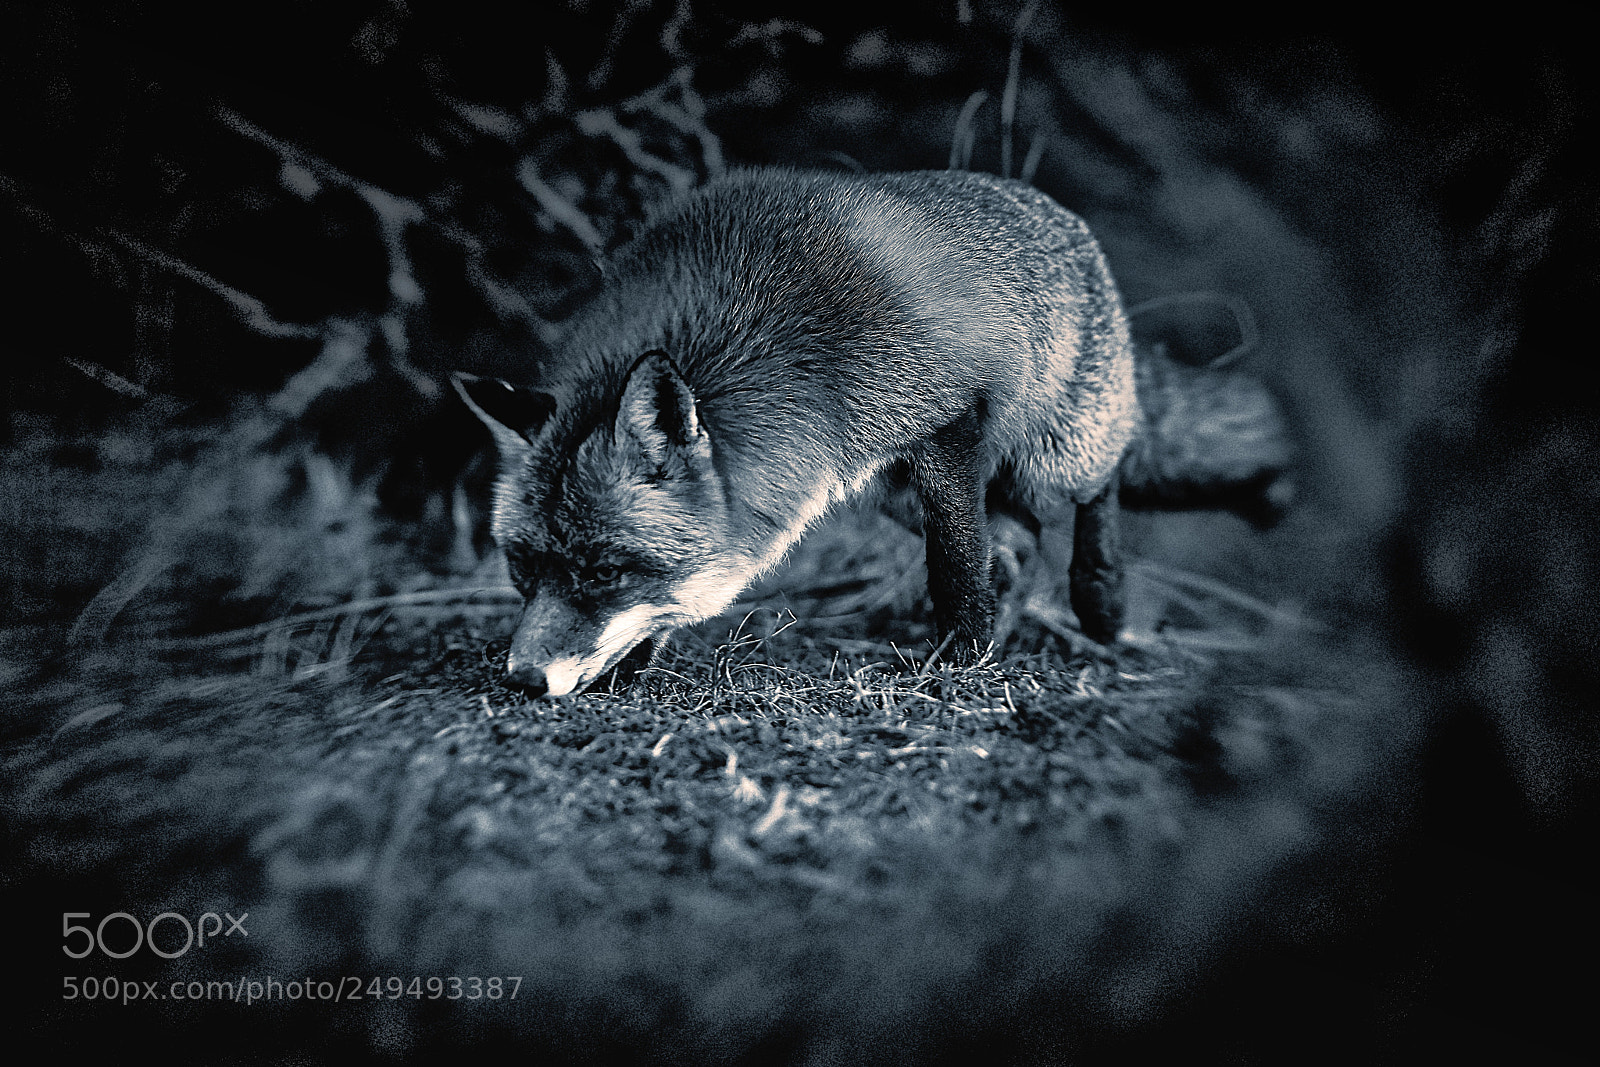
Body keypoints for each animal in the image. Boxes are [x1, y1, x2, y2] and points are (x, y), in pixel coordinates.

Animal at [453, 167, 1282, 698]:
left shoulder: (947, 418)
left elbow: (956, 563)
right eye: (522, 568)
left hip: (1054, 450)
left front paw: (961, 659)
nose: (522, 679)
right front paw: (633, 659)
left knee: (1096, 488)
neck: (761, 342)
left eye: (603, 573)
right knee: (1017, 546)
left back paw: (1101, 600)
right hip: (889, 490)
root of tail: (1057, 210)